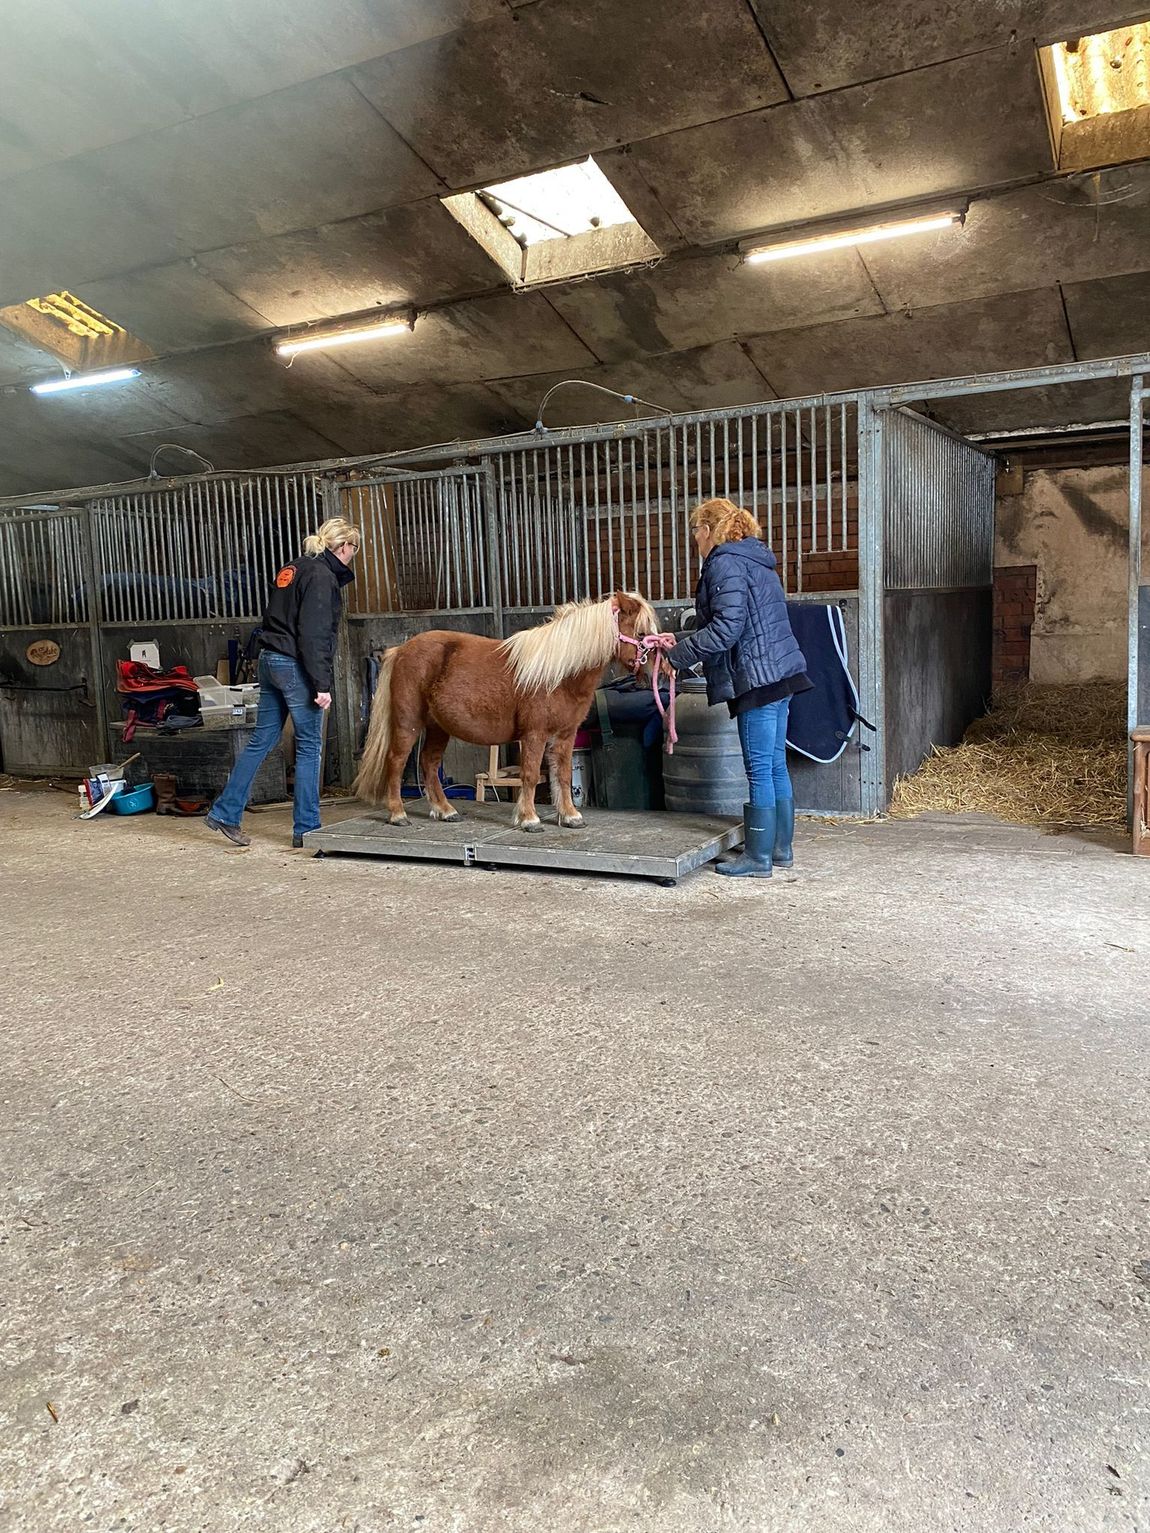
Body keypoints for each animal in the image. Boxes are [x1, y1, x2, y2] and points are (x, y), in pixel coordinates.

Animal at [353, 591, 659, 832]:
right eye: (641, 634)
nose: (648, 675)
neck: (558, 674)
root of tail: (401, 649)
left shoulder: (565, 735)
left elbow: (562, 775)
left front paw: (570, 816)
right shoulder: (534, 734)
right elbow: (531, 775)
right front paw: (529, 819)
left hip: (439, 727)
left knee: (428, 762)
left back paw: (445, 811)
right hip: (409, 723)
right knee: (396, 761)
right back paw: (398, 814)